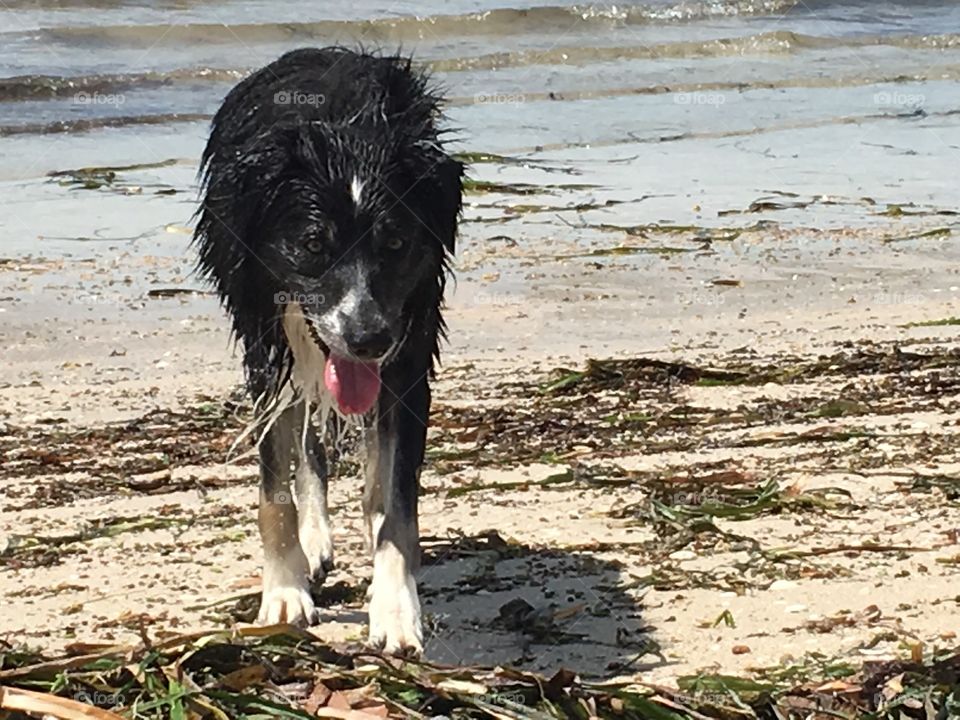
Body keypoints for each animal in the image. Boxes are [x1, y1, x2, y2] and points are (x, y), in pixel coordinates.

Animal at [192, 47, 462, 656]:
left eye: (396, 242)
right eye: (313, 244)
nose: (368, 338)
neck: (347, 131)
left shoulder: (407, 356)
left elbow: (398, 501)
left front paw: (396, 607)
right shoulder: (267, 350)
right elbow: (275, 487)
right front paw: (284, 593)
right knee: (308, 441)